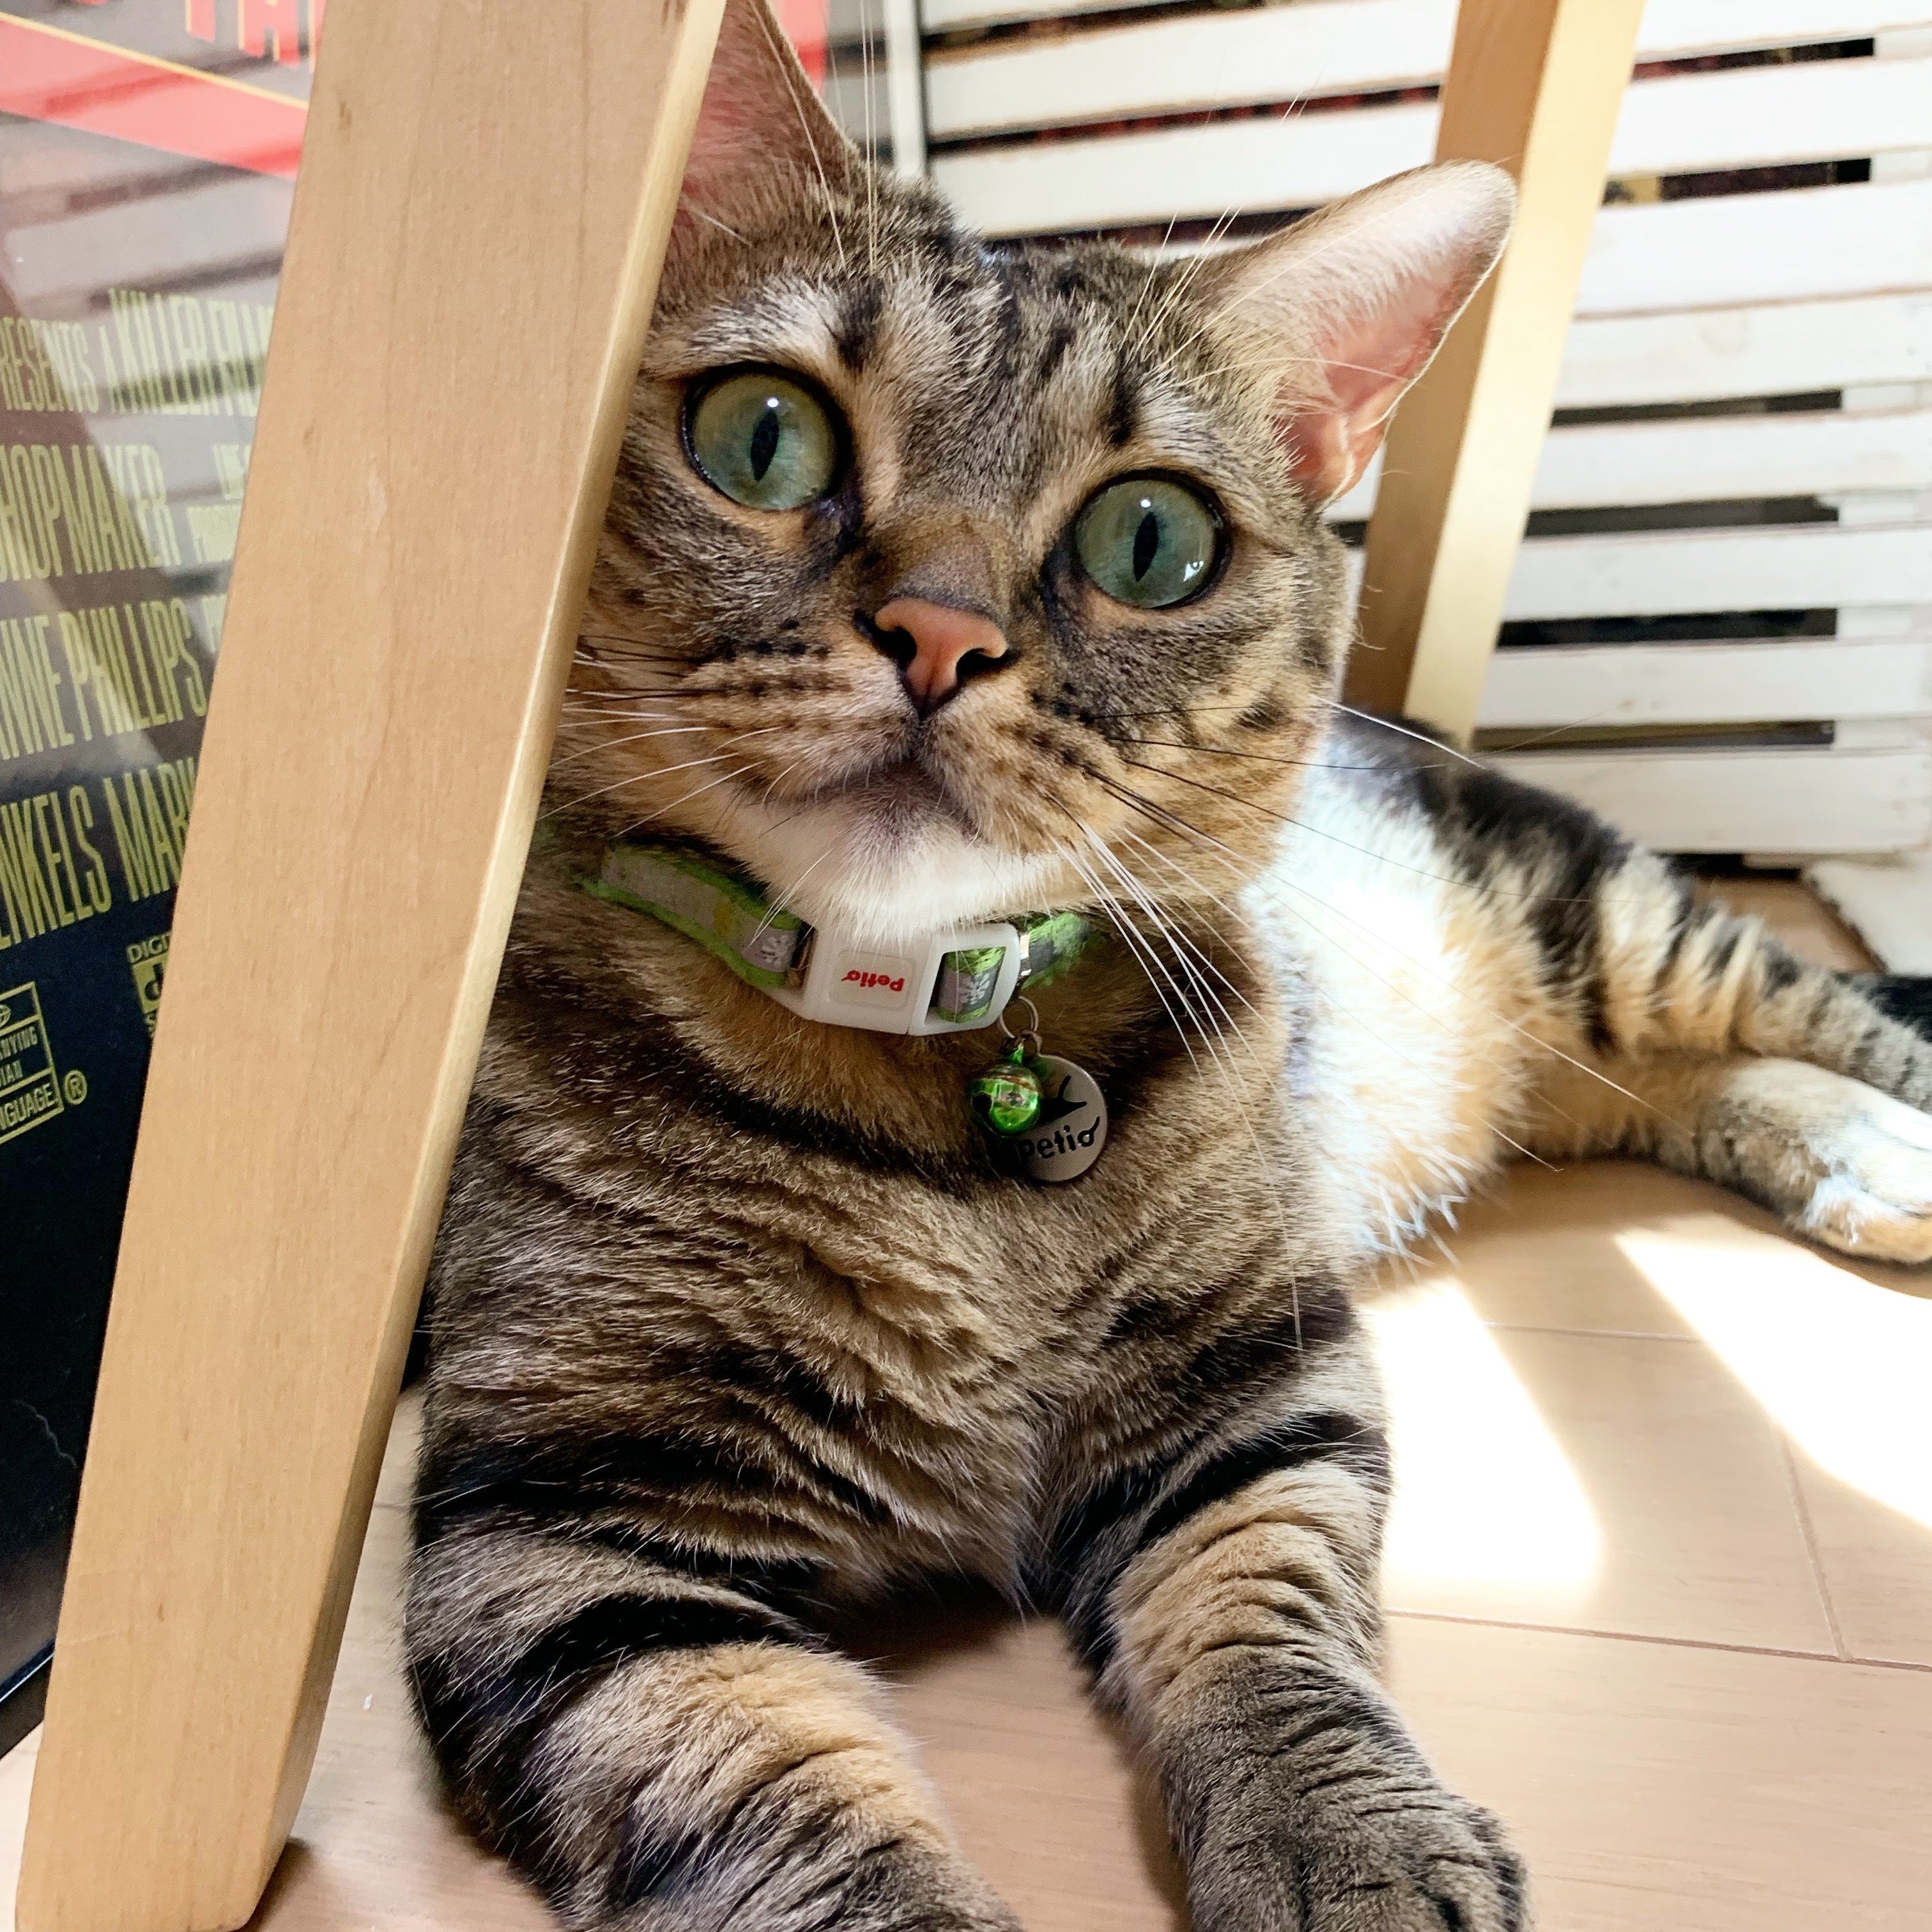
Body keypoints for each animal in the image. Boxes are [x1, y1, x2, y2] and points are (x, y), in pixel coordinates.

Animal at [405, 4, 1932, 1928]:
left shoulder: (1256, 1388)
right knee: (1668, 1094)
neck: (932, 1077)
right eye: (761, 439)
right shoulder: (554, 1532)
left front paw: (1345, 1843)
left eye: (1151, 540)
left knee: (1819, 1019)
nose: (940, 633)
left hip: (1617, 925)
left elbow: (1265, 1635)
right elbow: (772, 1801)